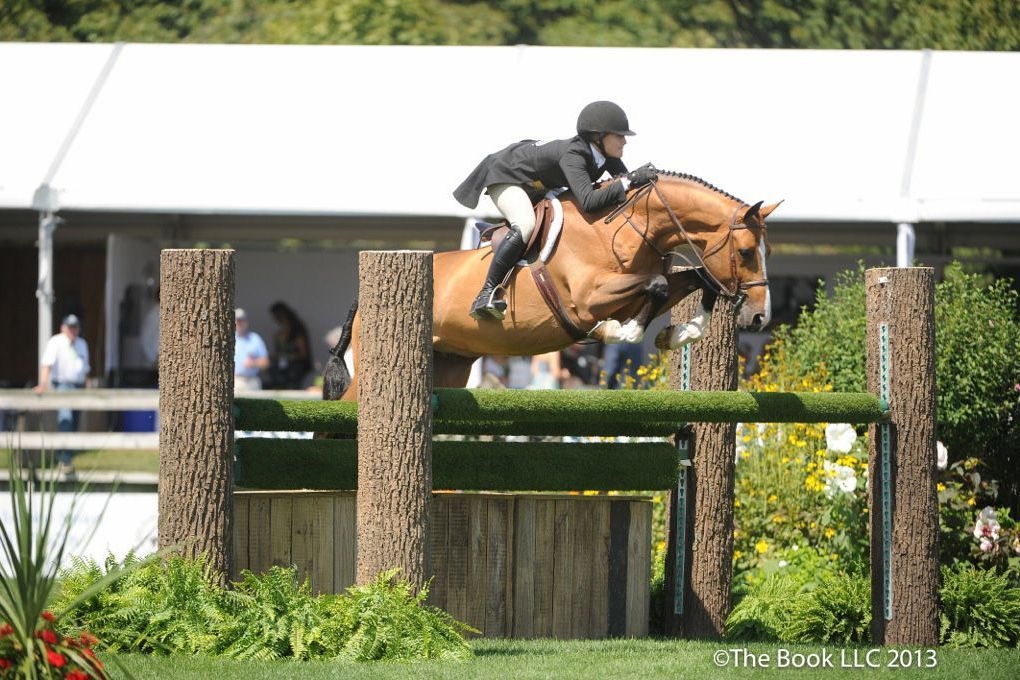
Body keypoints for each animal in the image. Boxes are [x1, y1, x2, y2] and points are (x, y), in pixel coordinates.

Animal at [326, 170, 779, 401]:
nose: (760, 317)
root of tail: (361, 298)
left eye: (768, 251)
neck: (626, 227)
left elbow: (693, 279)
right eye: (744, 252)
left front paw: (677, 333)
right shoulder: (587, 298)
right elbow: (655, 287)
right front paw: (618, 331)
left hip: (448, 366)